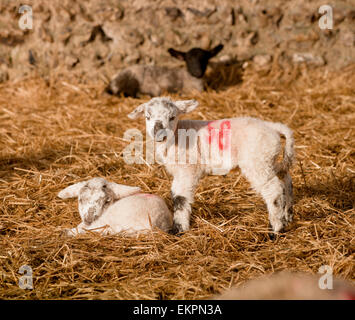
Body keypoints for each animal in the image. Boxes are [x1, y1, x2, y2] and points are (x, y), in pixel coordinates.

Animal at [128, 97, 294, 235]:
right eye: (147, 117)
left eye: (172, 117)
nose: (159, 134)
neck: (176, 137)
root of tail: (272, 127)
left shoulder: (187, 170)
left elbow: (180, 197)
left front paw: (179, 229)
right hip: (268, 159)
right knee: (285, 178)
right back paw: (288, 215)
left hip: (257, 161)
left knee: (273, 189)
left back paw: (275, 229)